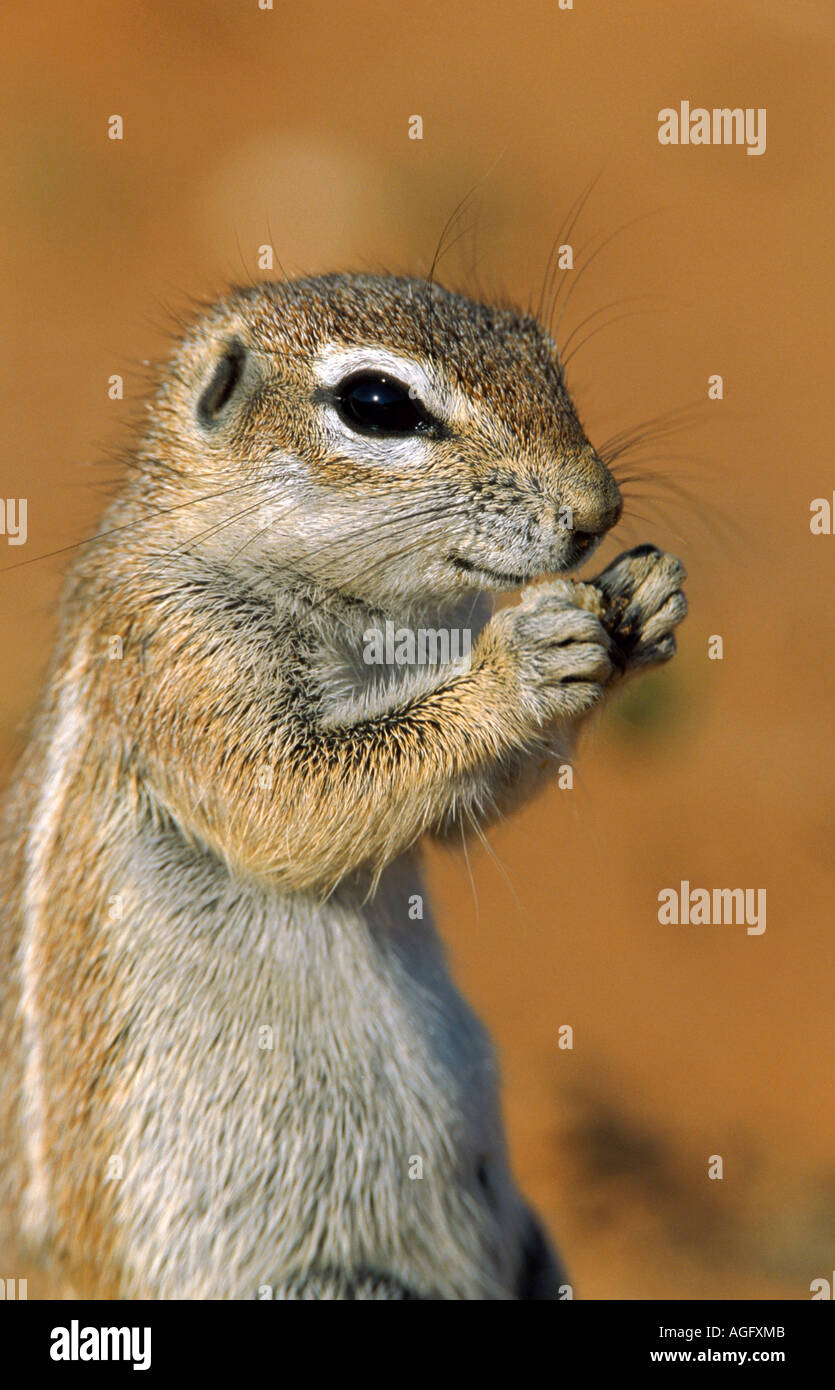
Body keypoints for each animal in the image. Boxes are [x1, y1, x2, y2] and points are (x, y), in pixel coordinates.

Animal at [0, 273, 683, 1301]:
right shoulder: (177, 653)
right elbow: (290, 806)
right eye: (376, 403)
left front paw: (642, 601)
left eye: (542, 353)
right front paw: (522, 663)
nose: (596, 511)